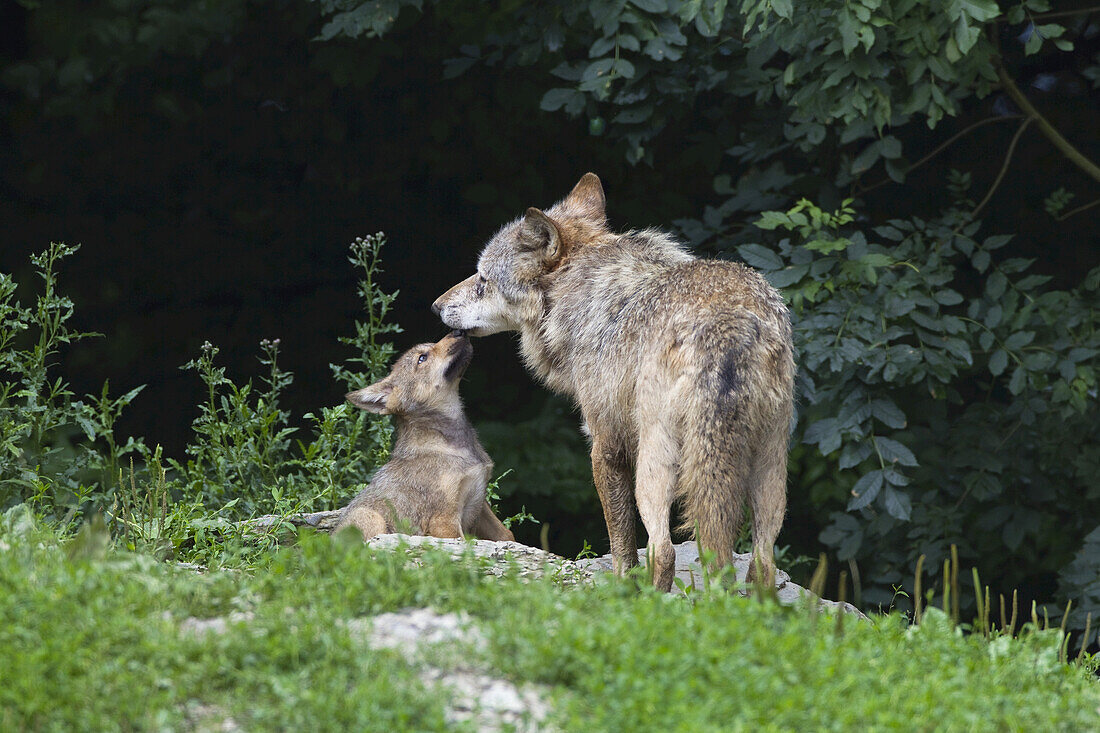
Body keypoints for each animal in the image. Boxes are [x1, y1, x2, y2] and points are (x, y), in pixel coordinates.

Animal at [433, 172, 796, 589]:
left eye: (483, 278)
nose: (436, 306)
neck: (578, 292)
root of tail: (729, 323)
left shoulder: (605, 446)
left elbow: (622, 545)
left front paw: (622, 589)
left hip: (656, 464)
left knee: (664, 550)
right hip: (768, 466)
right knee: (762, 561)